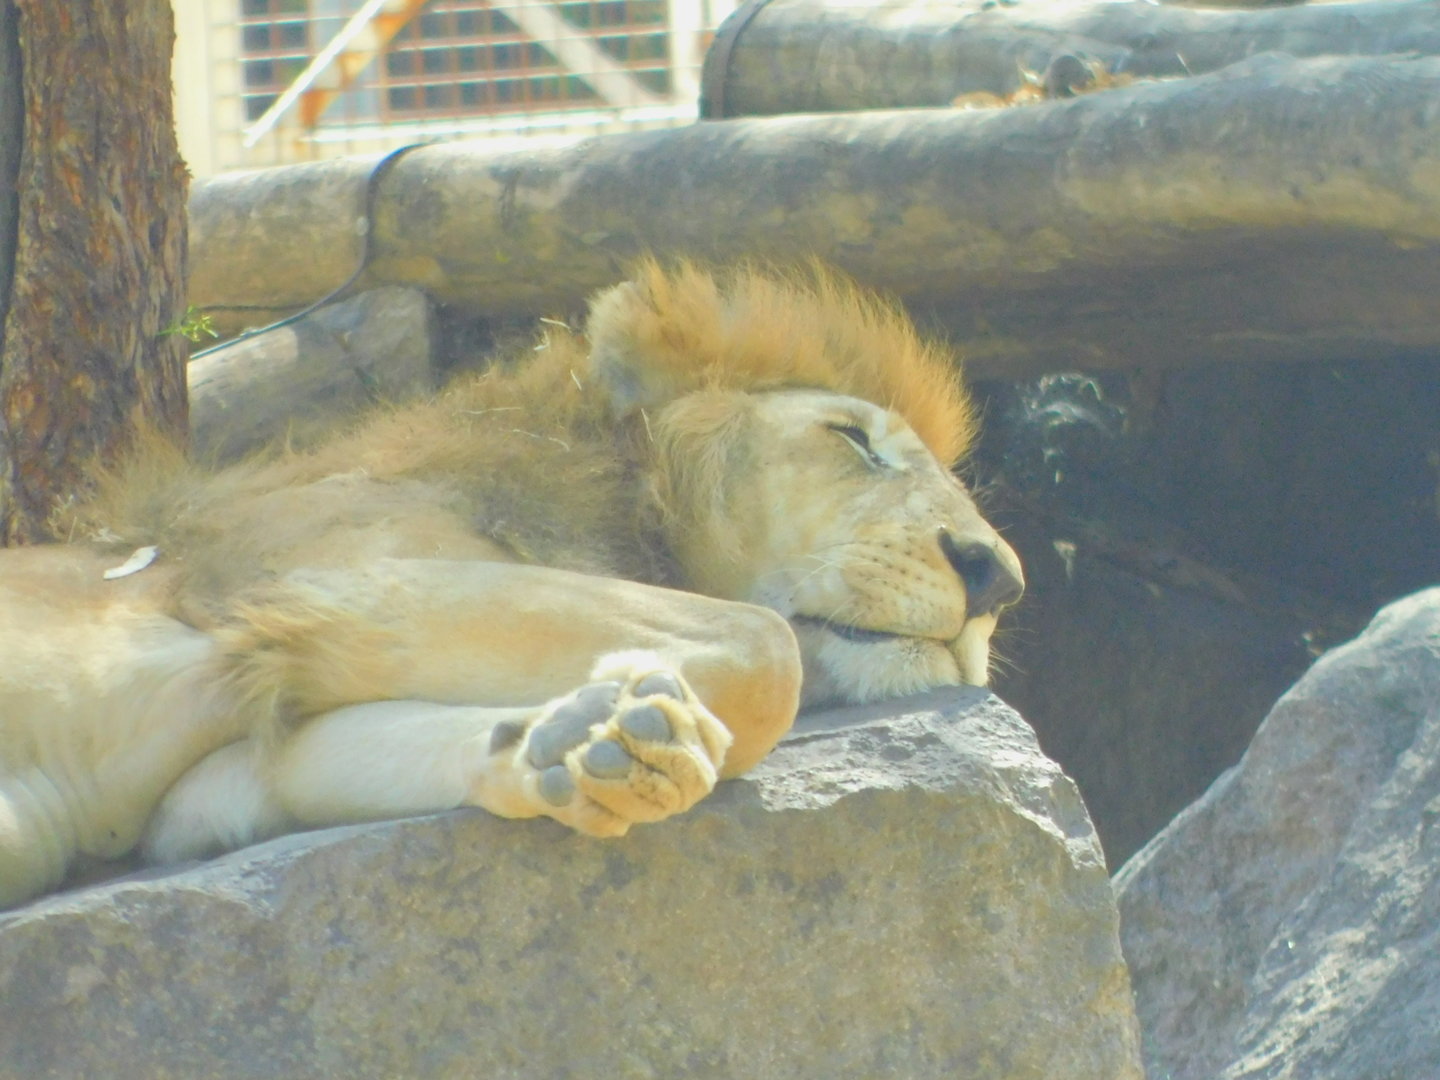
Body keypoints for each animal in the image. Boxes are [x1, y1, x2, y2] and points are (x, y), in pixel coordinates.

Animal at [0, 261, 1023, 908]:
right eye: (853, 439)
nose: (1001, 579)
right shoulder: (308, 578)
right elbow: (768, 648)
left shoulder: (218, 789)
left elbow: (306, 761)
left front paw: (585, 746)